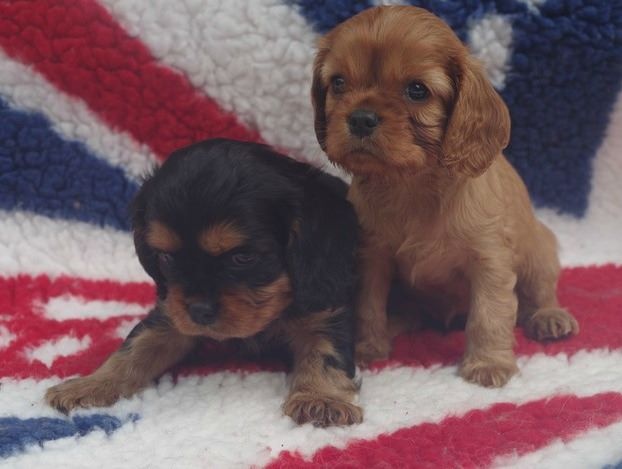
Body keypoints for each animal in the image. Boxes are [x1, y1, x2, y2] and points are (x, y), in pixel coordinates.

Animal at [45, 139, 363, 426]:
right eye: (166, 258)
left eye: (243, 258)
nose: (198, 312)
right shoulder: (171, 312)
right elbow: (135, 347)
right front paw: (89, 385)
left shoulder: (325, 311)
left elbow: (324, 354)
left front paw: (320, 399)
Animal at [310, 6, 579, 387]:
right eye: (338, 83)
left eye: (417, 90)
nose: (361, 118)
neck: (413, 183)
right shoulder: (372, 255)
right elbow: (368, 305)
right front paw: (368, 348)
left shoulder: (490, 259)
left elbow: (489, 313)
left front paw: (488, 363)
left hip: (538, 249)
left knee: (539, 290)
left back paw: (549, 316)